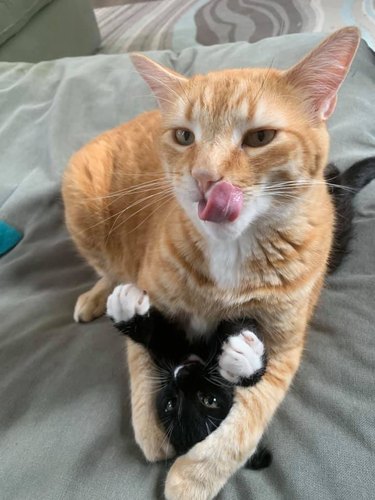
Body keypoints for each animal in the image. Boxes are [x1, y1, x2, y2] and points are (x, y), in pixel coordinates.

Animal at [62, 28, 362, 500]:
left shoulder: (284, 347)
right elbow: (141, 365)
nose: (204, 177)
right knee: (107, 269)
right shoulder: (155, 301)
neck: (232, 250)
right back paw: (96, 295)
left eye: (260, 137)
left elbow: (248, 417)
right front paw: (152, 429)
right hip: (82, 199)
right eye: (185, 137)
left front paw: (193, 476)